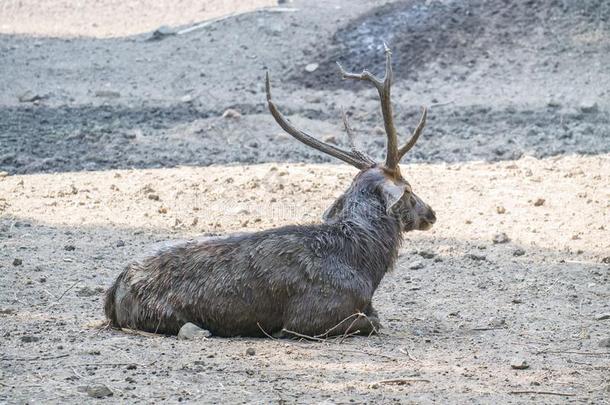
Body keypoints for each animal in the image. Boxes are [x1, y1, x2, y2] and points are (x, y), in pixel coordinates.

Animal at [105, 44, 436, 336]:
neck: (365, 266)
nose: (432, 213)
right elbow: (373, 322)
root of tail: (114, 290)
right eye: (408, 189)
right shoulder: (311, 317)